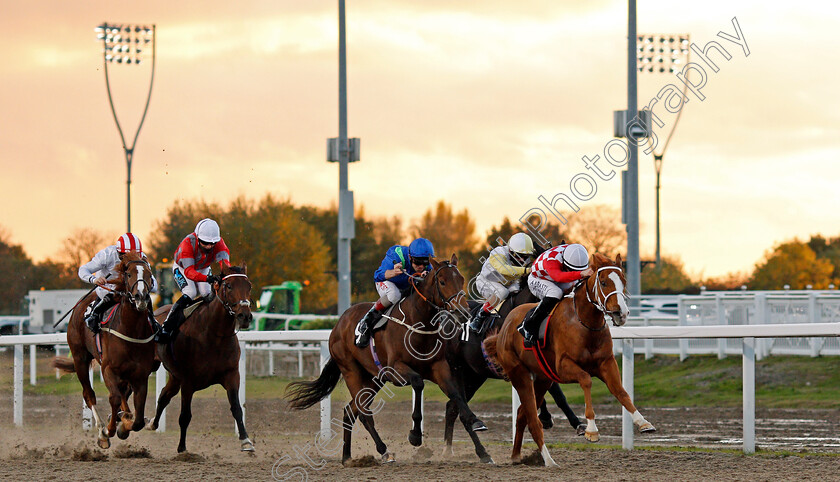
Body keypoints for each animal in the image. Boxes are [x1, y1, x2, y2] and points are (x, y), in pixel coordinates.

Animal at [53, 250, 158, 450]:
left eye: (149, 275)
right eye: (129, 274)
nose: (141, 297)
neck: (130, 330)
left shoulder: (140, 374)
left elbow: (138, 418)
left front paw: (125, 424)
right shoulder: (108, 368)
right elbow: (114, 398)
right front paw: (108, 431)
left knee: (123, 393)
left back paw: (123, 415)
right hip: (80, 358)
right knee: (89, 394)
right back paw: (103, 428)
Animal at [148, 262, 254, 454]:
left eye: (249, 286)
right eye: (229, 286)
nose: (245, 316)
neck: (214, 334)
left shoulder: (231, 374)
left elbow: (236, 408)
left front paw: (246, 441)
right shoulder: (188, 380)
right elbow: (185, 416)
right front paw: (182, 448)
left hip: (174, 377)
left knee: (164, 396)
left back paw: (152, 423)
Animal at [288, 254, 492, 466]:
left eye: (461, 279)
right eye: (442, 281)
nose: (464, 311)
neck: (418, 324)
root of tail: (338, 324)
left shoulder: (439, 369)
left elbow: (457, 397)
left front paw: (478, 433)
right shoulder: (396, 371)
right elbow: (418, 383)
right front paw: (415, 435)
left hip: (373, 379)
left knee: (350, 411)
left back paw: (347, 457)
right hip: (351, 370)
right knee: (363, 412)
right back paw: (384, 452)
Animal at [486, 254, 656, 466]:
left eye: (623, 281)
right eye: (603, 282)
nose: (621, 313)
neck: (585, 324)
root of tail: (505, 326)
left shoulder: (606, 362)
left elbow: (621, 391)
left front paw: (643, 422)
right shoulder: (564, 367)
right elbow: (586, 380)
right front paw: (591, 430)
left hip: (543, 379)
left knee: (521, 414)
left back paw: (516, 456)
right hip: (520, 374)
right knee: (533, 420)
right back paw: (549, 461)